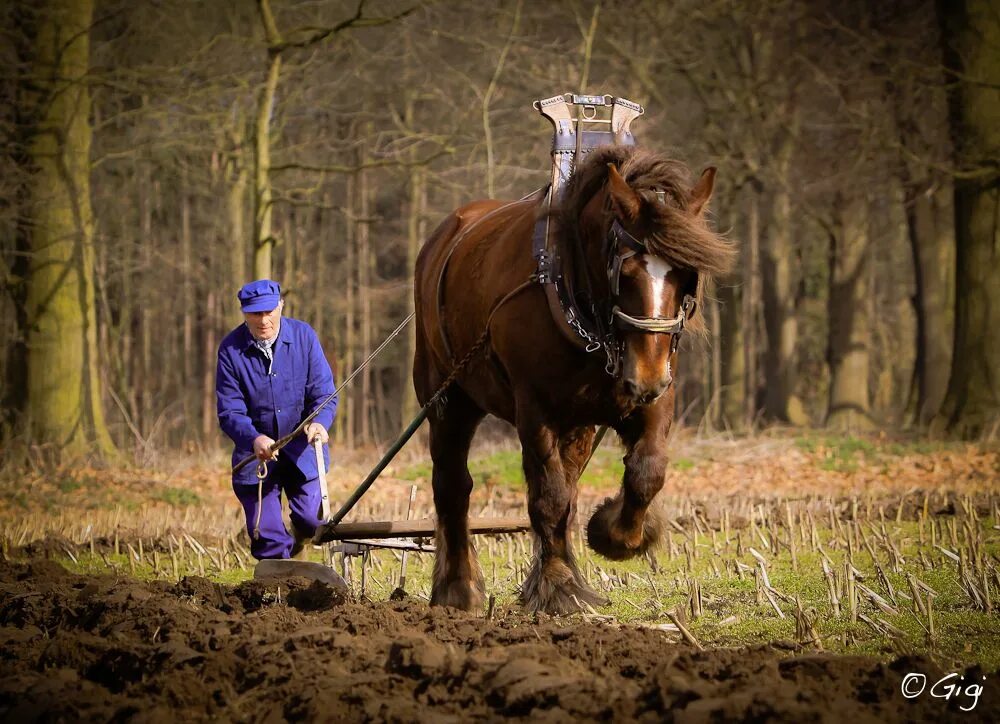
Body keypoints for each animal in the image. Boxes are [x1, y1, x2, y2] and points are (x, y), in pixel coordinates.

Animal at [412, 144, 736, 612]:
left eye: (686, 273)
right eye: (625, 270)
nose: (646, 376)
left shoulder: (652, 399)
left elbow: (646, 471)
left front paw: (618, 535)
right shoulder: (535, 409)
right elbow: (549, 498)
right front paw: (559, 586)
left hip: (579, 423)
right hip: (448, 396)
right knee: (454, 484)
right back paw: (457, 588)